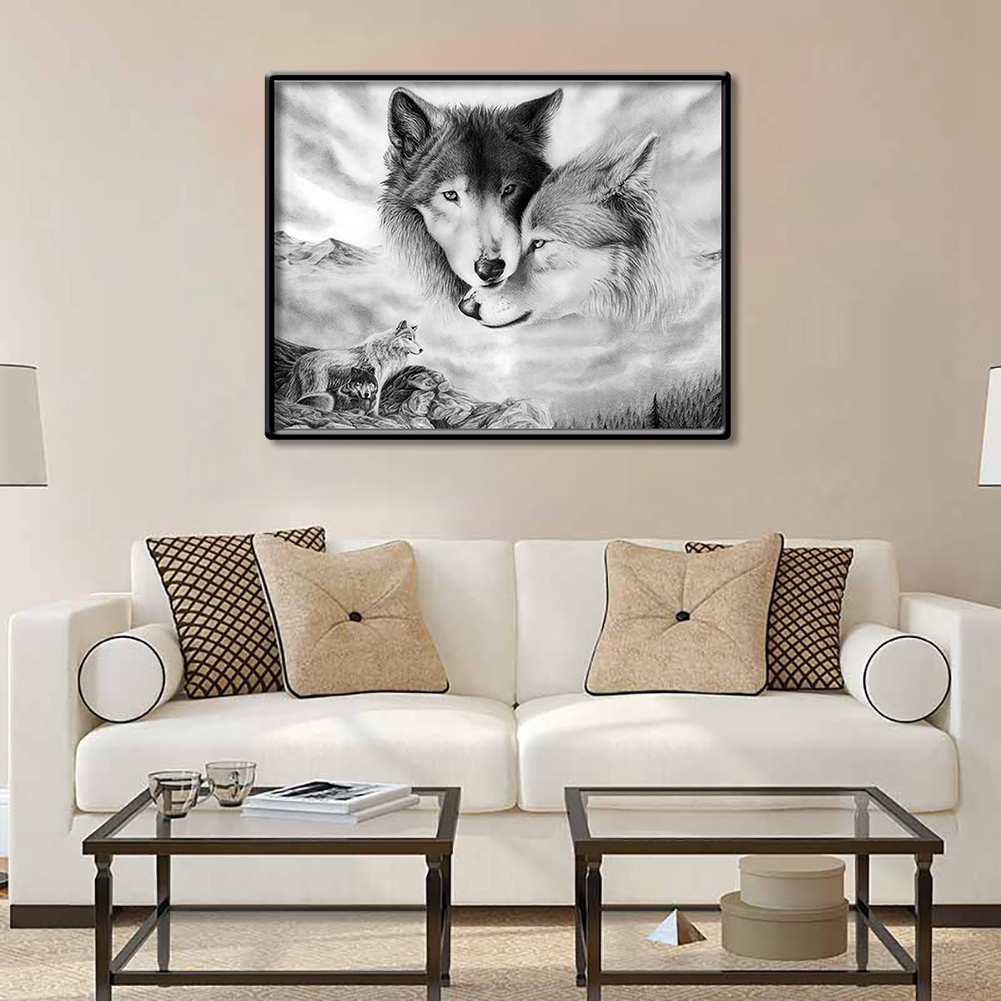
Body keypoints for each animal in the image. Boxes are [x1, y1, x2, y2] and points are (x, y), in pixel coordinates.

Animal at [282, 320, 423, 417]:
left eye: (415, 339)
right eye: (409, 339)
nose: (422, 349)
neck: (387, 349)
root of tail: (300, 359)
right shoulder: (376, 381)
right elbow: (375, 402)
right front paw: (375, 416)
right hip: (317, 388)